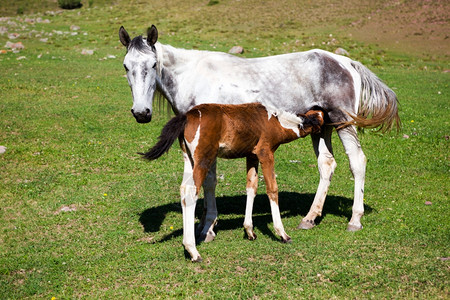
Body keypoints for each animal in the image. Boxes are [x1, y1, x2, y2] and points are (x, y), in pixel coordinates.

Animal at [143, 102, 324, 260]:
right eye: (322, 118)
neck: (275, 120)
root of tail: (188, 115)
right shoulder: (265, 153)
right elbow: (272, 189)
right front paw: (283, 234)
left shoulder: (252, 155)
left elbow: (252, 187)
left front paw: (249, 231)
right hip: (204, 159)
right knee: (191, 192)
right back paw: (193, 251)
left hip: (189, 158)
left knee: (183, 190)